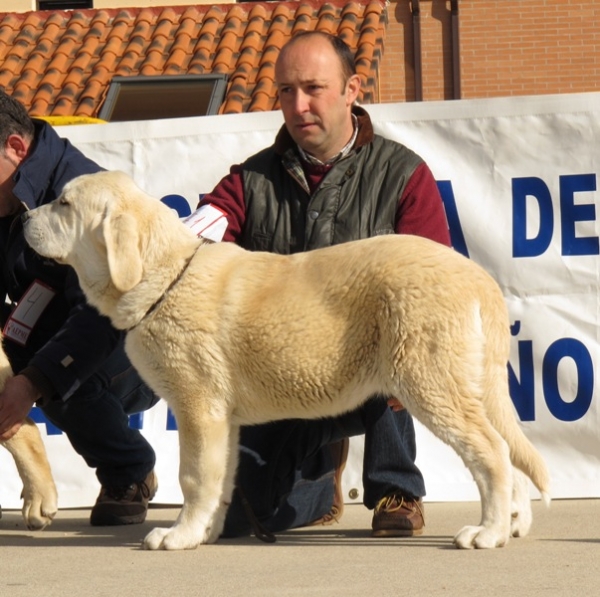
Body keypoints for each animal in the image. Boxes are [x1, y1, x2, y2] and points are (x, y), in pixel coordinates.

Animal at [22, 169, 548, 548]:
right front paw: (206, 533)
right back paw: (514, 524)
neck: (165, 275)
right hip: (471, 382)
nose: (23, 215)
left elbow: (194, 477)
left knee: (492, 452)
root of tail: (479, 277)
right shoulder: (222, 419)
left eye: (64, 203)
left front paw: (179, 536)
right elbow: (221, 478)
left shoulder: (197, 406)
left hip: (430, 380)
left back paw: (488, 534)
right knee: (509, 448)